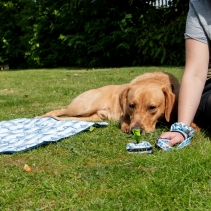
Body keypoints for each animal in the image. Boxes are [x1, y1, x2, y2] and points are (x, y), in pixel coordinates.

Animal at [38, 71, 180, 134]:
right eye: (131, 105)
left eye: (152, 107)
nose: (136, 130)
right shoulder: (123, 114)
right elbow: (125, 119)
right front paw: (126, 126)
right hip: (83, 107)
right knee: (59, 110)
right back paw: (40, 116)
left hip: (91, 116)